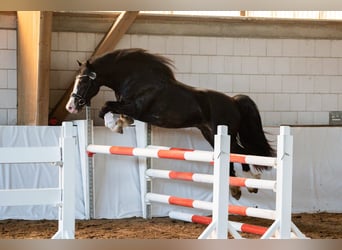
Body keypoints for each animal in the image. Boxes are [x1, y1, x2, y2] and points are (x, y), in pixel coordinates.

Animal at [66, 47, 276, 200]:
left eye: (83, 81)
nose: (71, 106)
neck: (136, 79)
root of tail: (233, 101)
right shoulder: (129, 108)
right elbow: (115, 111)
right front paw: (121, 123)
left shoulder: (136, 108)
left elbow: (106, 107)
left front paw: (115, 125)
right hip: (210, 133)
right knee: (235, 154)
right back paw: (237, 188)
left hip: (223, 133)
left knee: (240, 153)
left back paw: (250, 182)